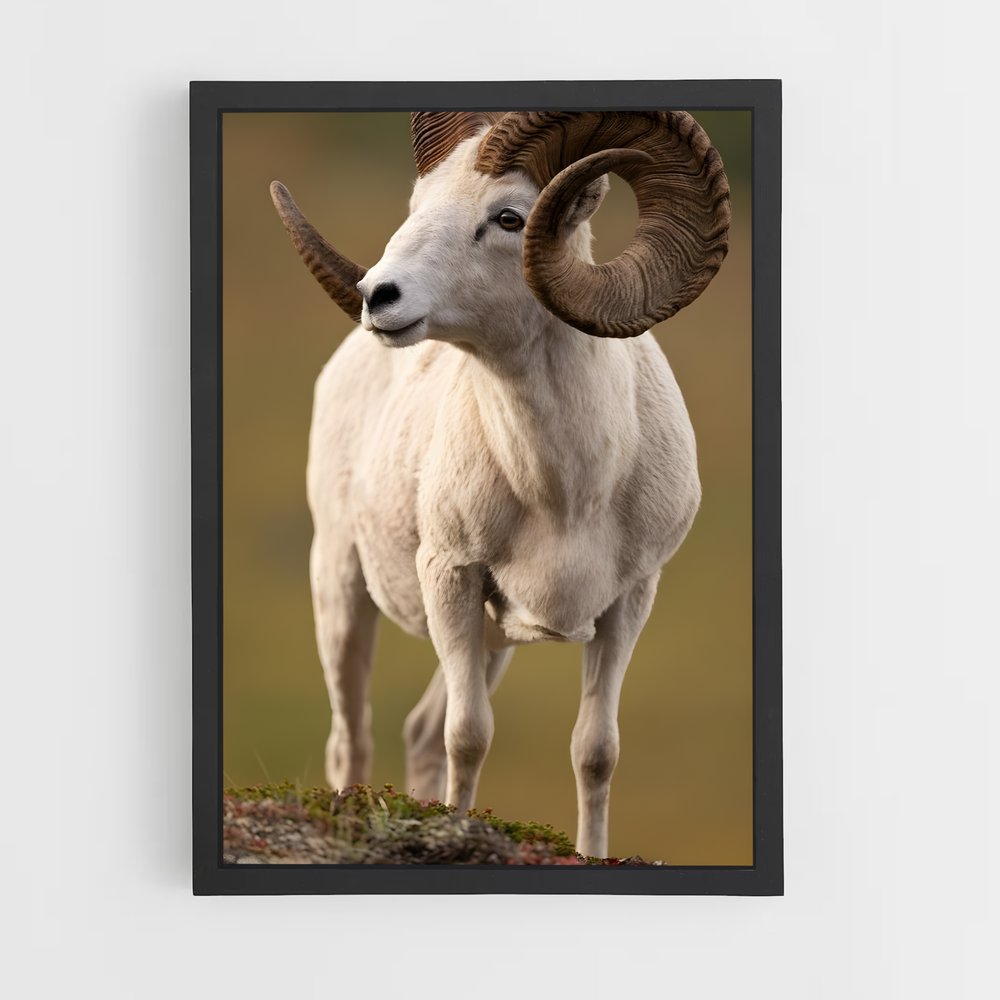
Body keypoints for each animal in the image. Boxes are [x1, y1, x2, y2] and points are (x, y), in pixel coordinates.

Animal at [270, 111, 730, 859]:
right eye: (417, 205)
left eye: (509, 217)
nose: (378, 297)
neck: (566, 491)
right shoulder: (451, 578)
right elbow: (469, 736)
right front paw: (457, 833)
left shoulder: (628, 602)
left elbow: (595, 750)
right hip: (341, 586)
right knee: (354, 737)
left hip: (492, 643)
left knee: (419, 732)